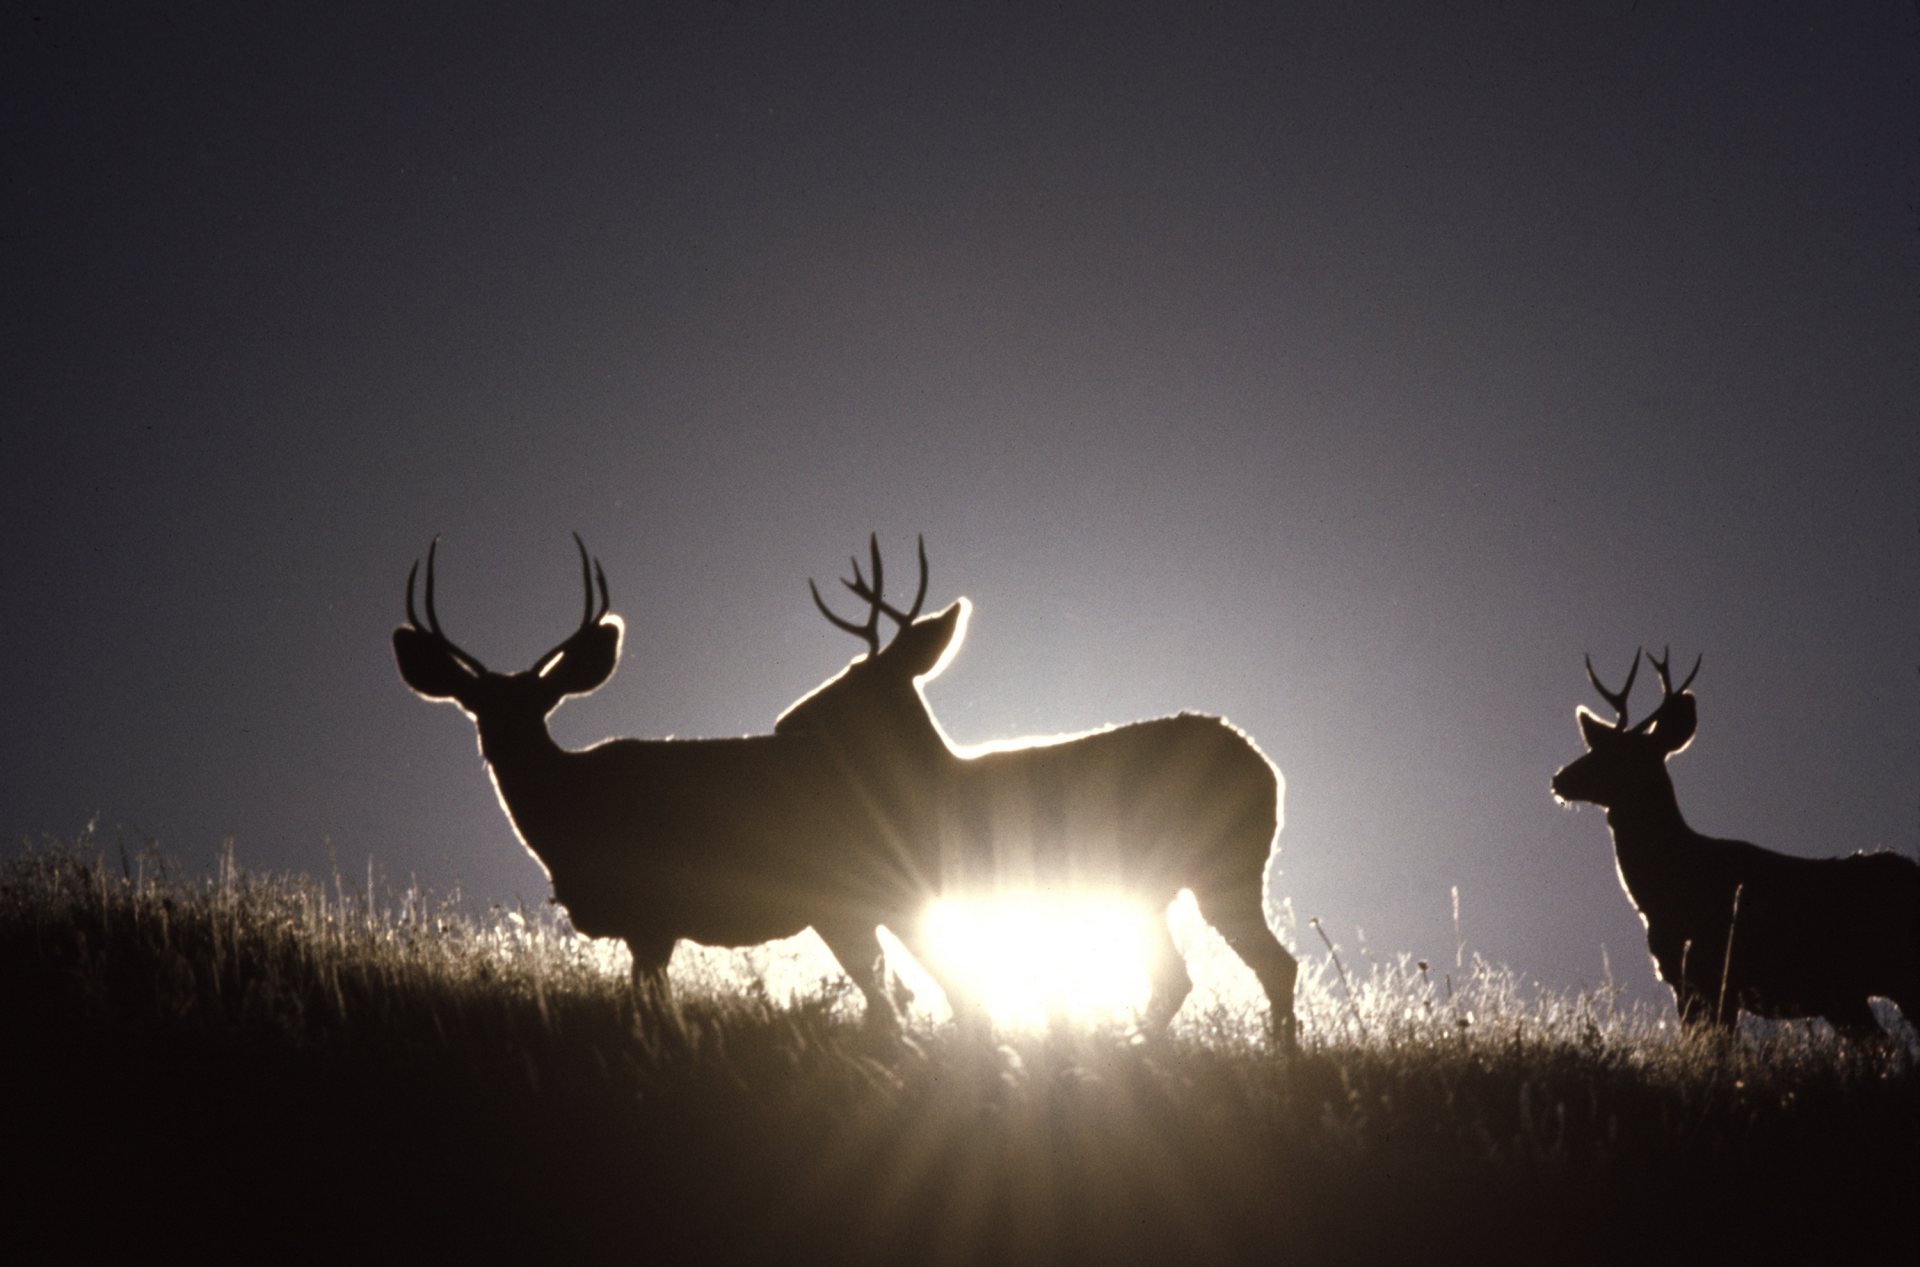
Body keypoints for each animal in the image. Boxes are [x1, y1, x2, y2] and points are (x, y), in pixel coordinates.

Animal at [779, 541, 1305, 1044]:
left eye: (853, 677)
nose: (787, 719)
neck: (936, 788)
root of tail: (1270, 771)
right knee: (1191, 976)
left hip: (1225, 863)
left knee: (1269, 966)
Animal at [1551, 648, 1912, 1036]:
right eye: (1597, 746)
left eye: (1620, 754)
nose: (1559, 779)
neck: (1664, 893)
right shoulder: (1688, 982)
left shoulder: (1711, 977)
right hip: (1847, 998)